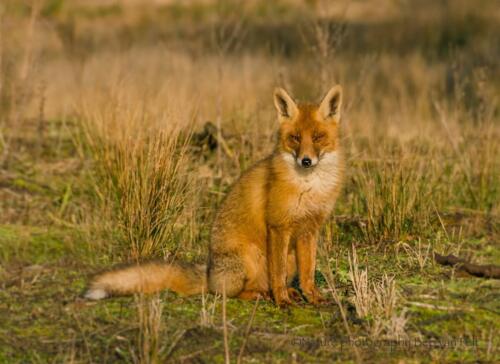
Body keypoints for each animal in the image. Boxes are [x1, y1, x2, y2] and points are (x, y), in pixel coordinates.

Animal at [86, 85, 344, 308]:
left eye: (318, 137)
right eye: (296, 137)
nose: (306, 161)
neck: (309, 187)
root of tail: (209, 273)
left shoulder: (309, 229)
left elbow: (308, 273)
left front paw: (313, 297)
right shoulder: (278, 227)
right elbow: (277, 274)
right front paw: (282, 301)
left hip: (287, 258)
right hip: (250, 257)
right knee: (230, 292)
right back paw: (263, 295)